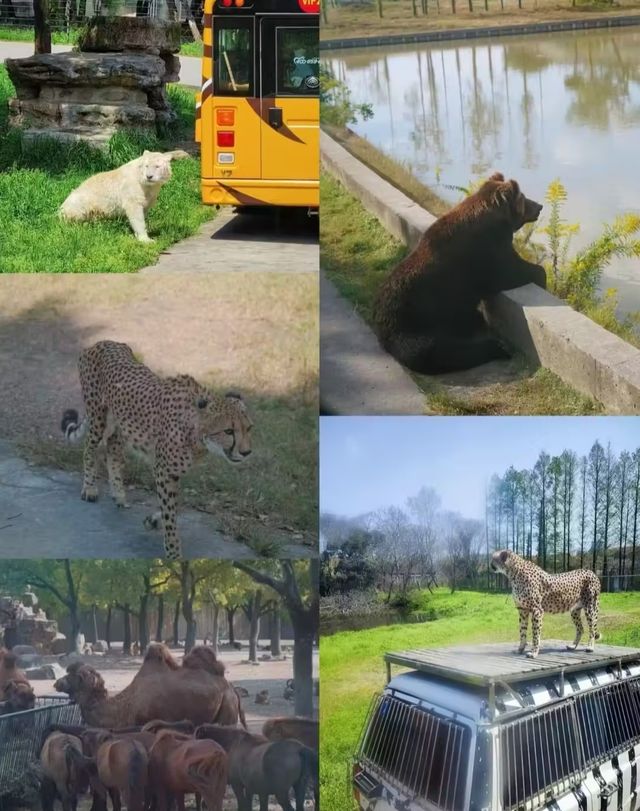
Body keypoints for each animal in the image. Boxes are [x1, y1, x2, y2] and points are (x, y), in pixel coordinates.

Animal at [59, 149, 190, 243]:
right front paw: (146, 239)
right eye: (147, 165)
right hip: (81, 202)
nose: (149, 176)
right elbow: (135, 211)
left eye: (157, 166)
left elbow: (145, 208)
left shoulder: (150, 192)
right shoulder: (132, 188)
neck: (142, 180)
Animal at [62, 340, 252, 560]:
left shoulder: (173, 471)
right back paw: (90, 488)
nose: (246, 452)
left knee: (113, 451)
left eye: (249, 428)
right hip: (97, 418)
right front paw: (173, 553)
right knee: (89, 449)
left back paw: (119, 494)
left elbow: (174, 503)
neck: (196, 433)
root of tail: (104, 342)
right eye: (228, 431)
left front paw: (153, 520)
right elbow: (170, 512)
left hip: (120, 423)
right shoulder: (163, 470)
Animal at [372, 173, 548, 376]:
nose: (539, 206)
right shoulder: (489, 252)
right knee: (440, 351)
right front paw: (540, 276)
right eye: (523, 197)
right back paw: (497, 347)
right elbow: (513, 273)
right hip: (420, 321)